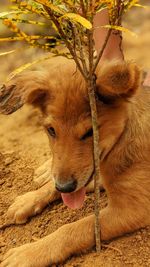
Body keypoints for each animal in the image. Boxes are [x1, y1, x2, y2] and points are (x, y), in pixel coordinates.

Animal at [0, 58, 150, 267]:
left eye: (90, 132)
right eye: (51, 130)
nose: (65, 186)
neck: (122, 138)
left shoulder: (134, 208)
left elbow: (76, 228)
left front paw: (28, 253)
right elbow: (55, 189)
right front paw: (28, 200)